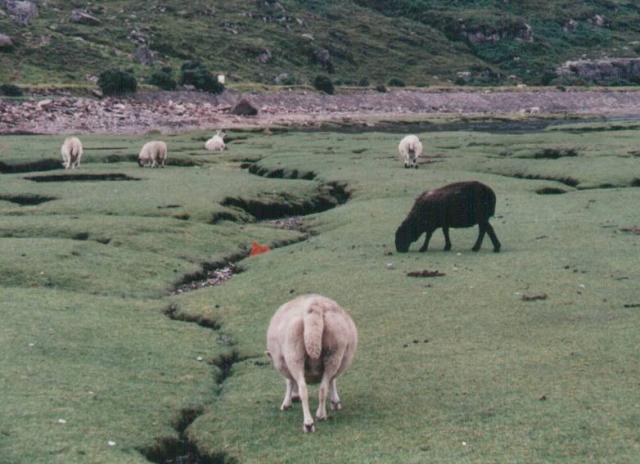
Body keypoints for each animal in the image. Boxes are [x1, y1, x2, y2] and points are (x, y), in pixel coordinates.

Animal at [266, 294, 358, 433]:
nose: (295, 398)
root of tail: (314, 308)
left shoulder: (283, 362)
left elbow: (289, 382)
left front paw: (286, 403)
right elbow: (332, 380)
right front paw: (335, 402)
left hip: (294, 354)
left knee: (303, 389)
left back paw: (308, 423)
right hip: (334, 353)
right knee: (323, 387)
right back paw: (321, 415)